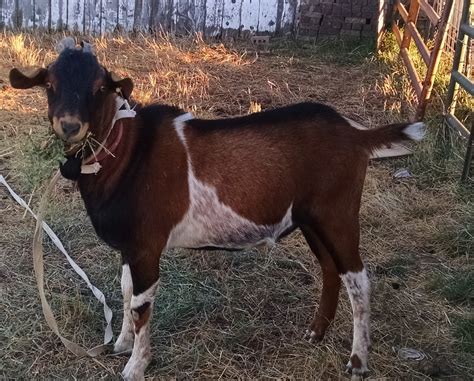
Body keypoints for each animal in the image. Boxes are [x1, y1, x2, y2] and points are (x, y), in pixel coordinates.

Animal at [10, 39, 426, 380]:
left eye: (99, 88)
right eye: (50, 84)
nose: (70, 125)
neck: (125, 150)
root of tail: (355, 134)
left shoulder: (146, 245)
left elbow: (141, 305)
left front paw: (135, 367)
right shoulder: (130, 245)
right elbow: (127, 291)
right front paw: (122, 345)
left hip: (336, 211)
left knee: (358, 278)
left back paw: (357, 362)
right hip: (310, 218)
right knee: (329, 268)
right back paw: (316, 332)